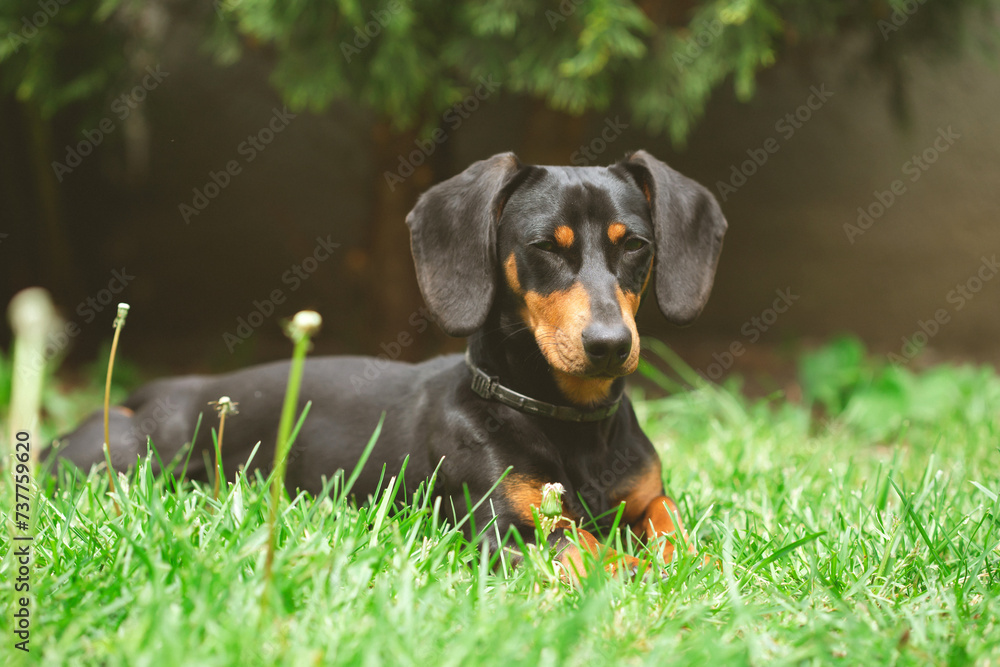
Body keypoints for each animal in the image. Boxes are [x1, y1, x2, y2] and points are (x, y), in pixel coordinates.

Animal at [50, 150, 728, 576]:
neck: (567, 421)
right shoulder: (504, 524)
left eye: (635, 244)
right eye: (543, 247)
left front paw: (702, 561)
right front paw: (632, 568)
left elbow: (672, 521)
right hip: (124, 458)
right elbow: (580, 541)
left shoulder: (647, 497)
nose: (610, 344)